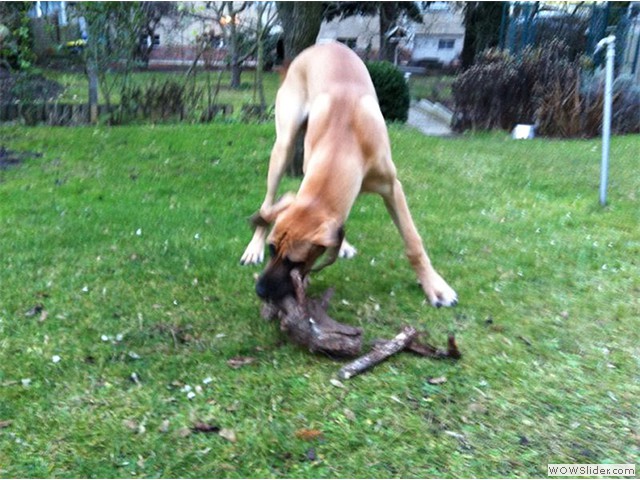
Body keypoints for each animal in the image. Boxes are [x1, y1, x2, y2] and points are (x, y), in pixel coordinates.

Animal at [240, 42, 457, 308]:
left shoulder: (392, 188)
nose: (260, 290)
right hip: (283, 145)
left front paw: (434, 286)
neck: (343, 141)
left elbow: (413, 241)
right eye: (272, 249)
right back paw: (254, 247)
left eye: (295, 261)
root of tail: (321, 45)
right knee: (268, 203)